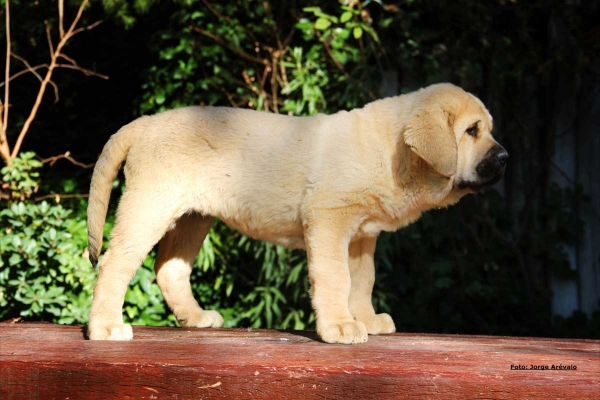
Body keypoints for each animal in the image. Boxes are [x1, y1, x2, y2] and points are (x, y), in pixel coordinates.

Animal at [85, 82, 506, 344]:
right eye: (471, 131)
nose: (504, 157)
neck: (393, 153)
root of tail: (144, 123)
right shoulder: (329, 221)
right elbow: (335, 278)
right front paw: (339, 326)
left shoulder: (362, 235)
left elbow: (362, 281)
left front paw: (365, 319)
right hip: (149, 205)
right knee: (115, 263)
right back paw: (105, 327)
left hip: (193, 217)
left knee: (169, 268)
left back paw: (195, 317)